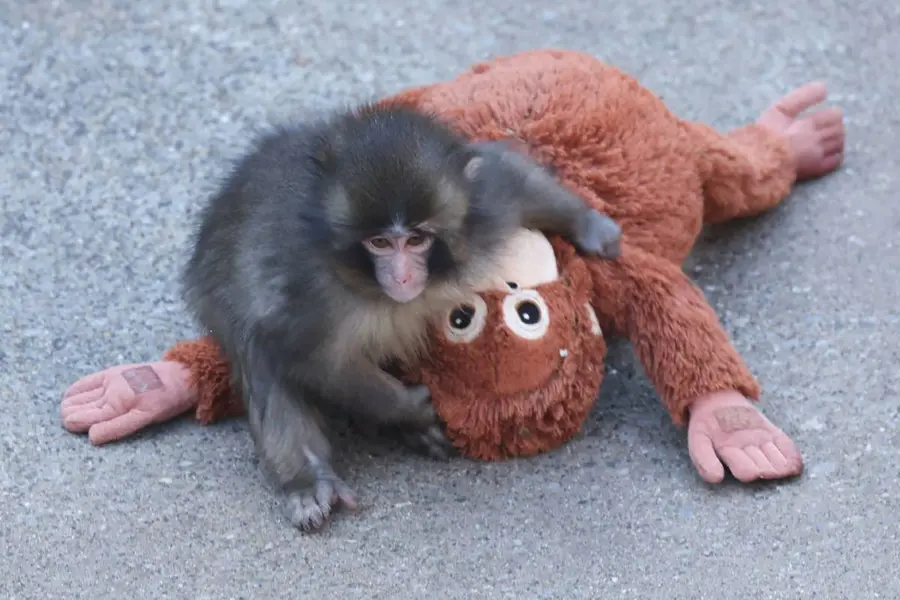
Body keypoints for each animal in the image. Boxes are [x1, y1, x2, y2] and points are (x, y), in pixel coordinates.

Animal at [181, 103, 622, 532]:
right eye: (379, 242)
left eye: (415, 239)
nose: (403, 276)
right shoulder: (306, 292)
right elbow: (313, 360)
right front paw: (410, 407)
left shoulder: (483, 208)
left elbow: (509, 175)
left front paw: (590, 226)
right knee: (258, 353)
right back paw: (308, 478)